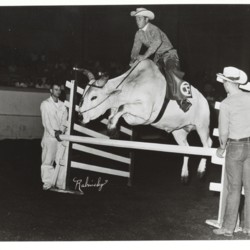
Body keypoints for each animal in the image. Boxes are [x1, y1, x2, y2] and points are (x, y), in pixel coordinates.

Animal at [79, 59, 212, 183]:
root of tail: (204, 99)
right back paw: (184, 175)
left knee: (207, 144)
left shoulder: (145, 110)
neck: (133, 85)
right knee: (187, 149)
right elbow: (117, 112)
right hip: (179, 132)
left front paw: (111, 128)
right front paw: (113, 129)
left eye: (94, 97)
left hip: (202, 126)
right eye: (84, 94)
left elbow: (123, 107)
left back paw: (201, 171)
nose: (80, 114)